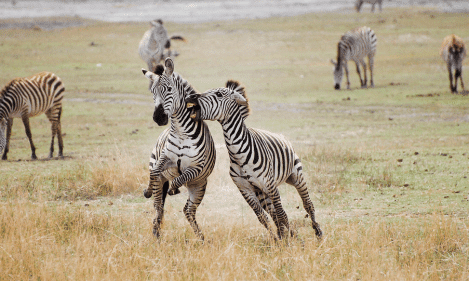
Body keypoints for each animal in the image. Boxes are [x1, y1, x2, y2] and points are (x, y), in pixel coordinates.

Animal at [141, 58, 216, 240]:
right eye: (152, 91)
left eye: (169, 89)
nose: (158, 118)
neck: (182, 133)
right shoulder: (166, 158)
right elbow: (154, 172)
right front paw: (148, 190)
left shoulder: (196, 168)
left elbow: (179, 179)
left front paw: (175, 188)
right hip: (159, 173)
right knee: (158, 204)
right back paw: (156, 230)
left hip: (199, 186)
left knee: (188, 211)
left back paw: (201, 238)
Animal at [184, 80, 322, 238]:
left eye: (218, 94)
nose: (189, 97)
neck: (239, 155)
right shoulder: (245, 189)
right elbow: (263, 217)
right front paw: (277, 239)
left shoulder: (270, 185)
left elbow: (281, 214)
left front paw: (289, 240)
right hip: (261, 192)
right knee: (274, 213)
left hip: (295, 176)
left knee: (307, 204)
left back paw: (318, 232)